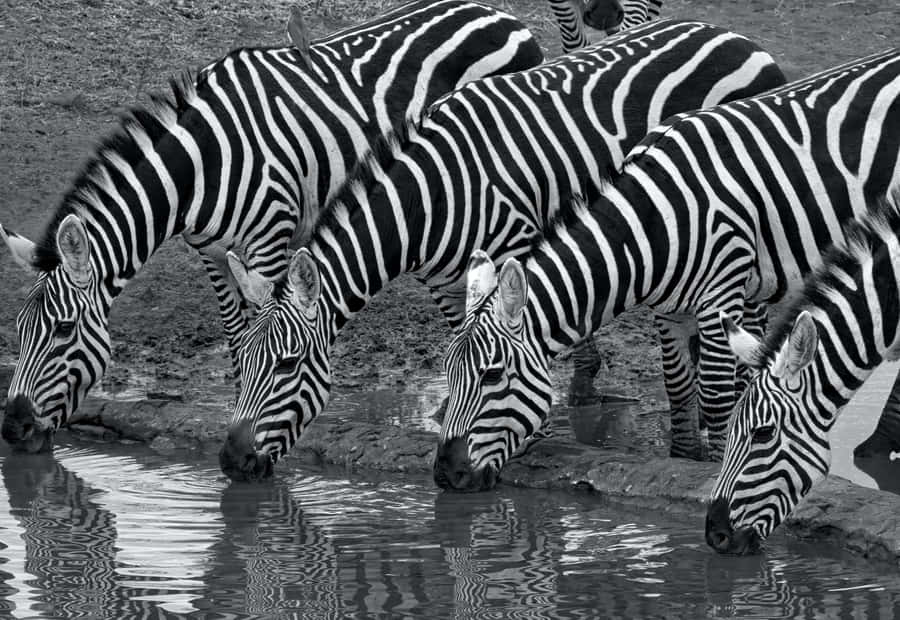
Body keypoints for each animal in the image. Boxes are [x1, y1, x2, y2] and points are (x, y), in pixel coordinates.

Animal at [0, 0, 542, 454]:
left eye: (62, 331)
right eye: (19, 331)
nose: (14, 428)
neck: (204, 162)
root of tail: (500, 14)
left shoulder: (268, 239)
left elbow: (265, 324)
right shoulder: (212, 251)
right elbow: (237, 333)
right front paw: (242, 404)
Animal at [220, 18, 786, 481]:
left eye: (287, 365)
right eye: (240, 363)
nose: (231, 461)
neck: (433, 194)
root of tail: (739, 38)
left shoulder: (513, 246)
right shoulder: (446, 281)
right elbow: (469, 341)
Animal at [438, 49, 900, 490]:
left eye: (492, 375)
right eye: (448, 374)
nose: (446, 474)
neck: (653, 223)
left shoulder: (720, 293)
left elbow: (713, 393)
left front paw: (713, 464)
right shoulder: (668, 307)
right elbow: (678, 387)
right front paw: (682, 459)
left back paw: (878, 444)